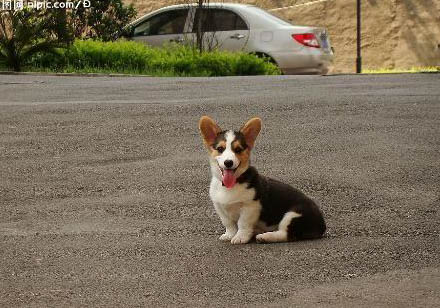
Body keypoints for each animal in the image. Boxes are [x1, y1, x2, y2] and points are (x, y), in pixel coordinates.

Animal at [199, 116, 326, 244]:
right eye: (220, 149)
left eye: (238, 149)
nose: (228, 163)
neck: (233, 183)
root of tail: (322, 225)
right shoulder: (220, 207)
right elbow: (229, 224)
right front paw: (229, 235)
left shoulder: (250, 206)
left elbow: (243, 224)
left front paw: (240, 237)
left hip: (293, 214)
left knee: (286, 234)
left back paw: (264, 236)